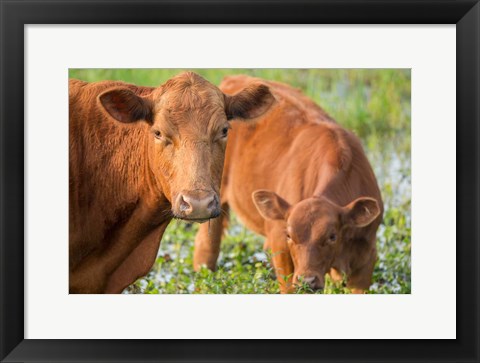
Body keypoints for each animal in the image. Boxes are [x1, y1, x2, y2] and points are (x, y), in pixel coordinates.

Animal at [193, 75, 384, 294]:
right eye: (290, 235)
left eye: (332, 236)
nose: (307, 280)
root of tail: (233, 79)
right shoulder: (279, 242)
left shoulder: (367, 255)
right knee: (207, 247)